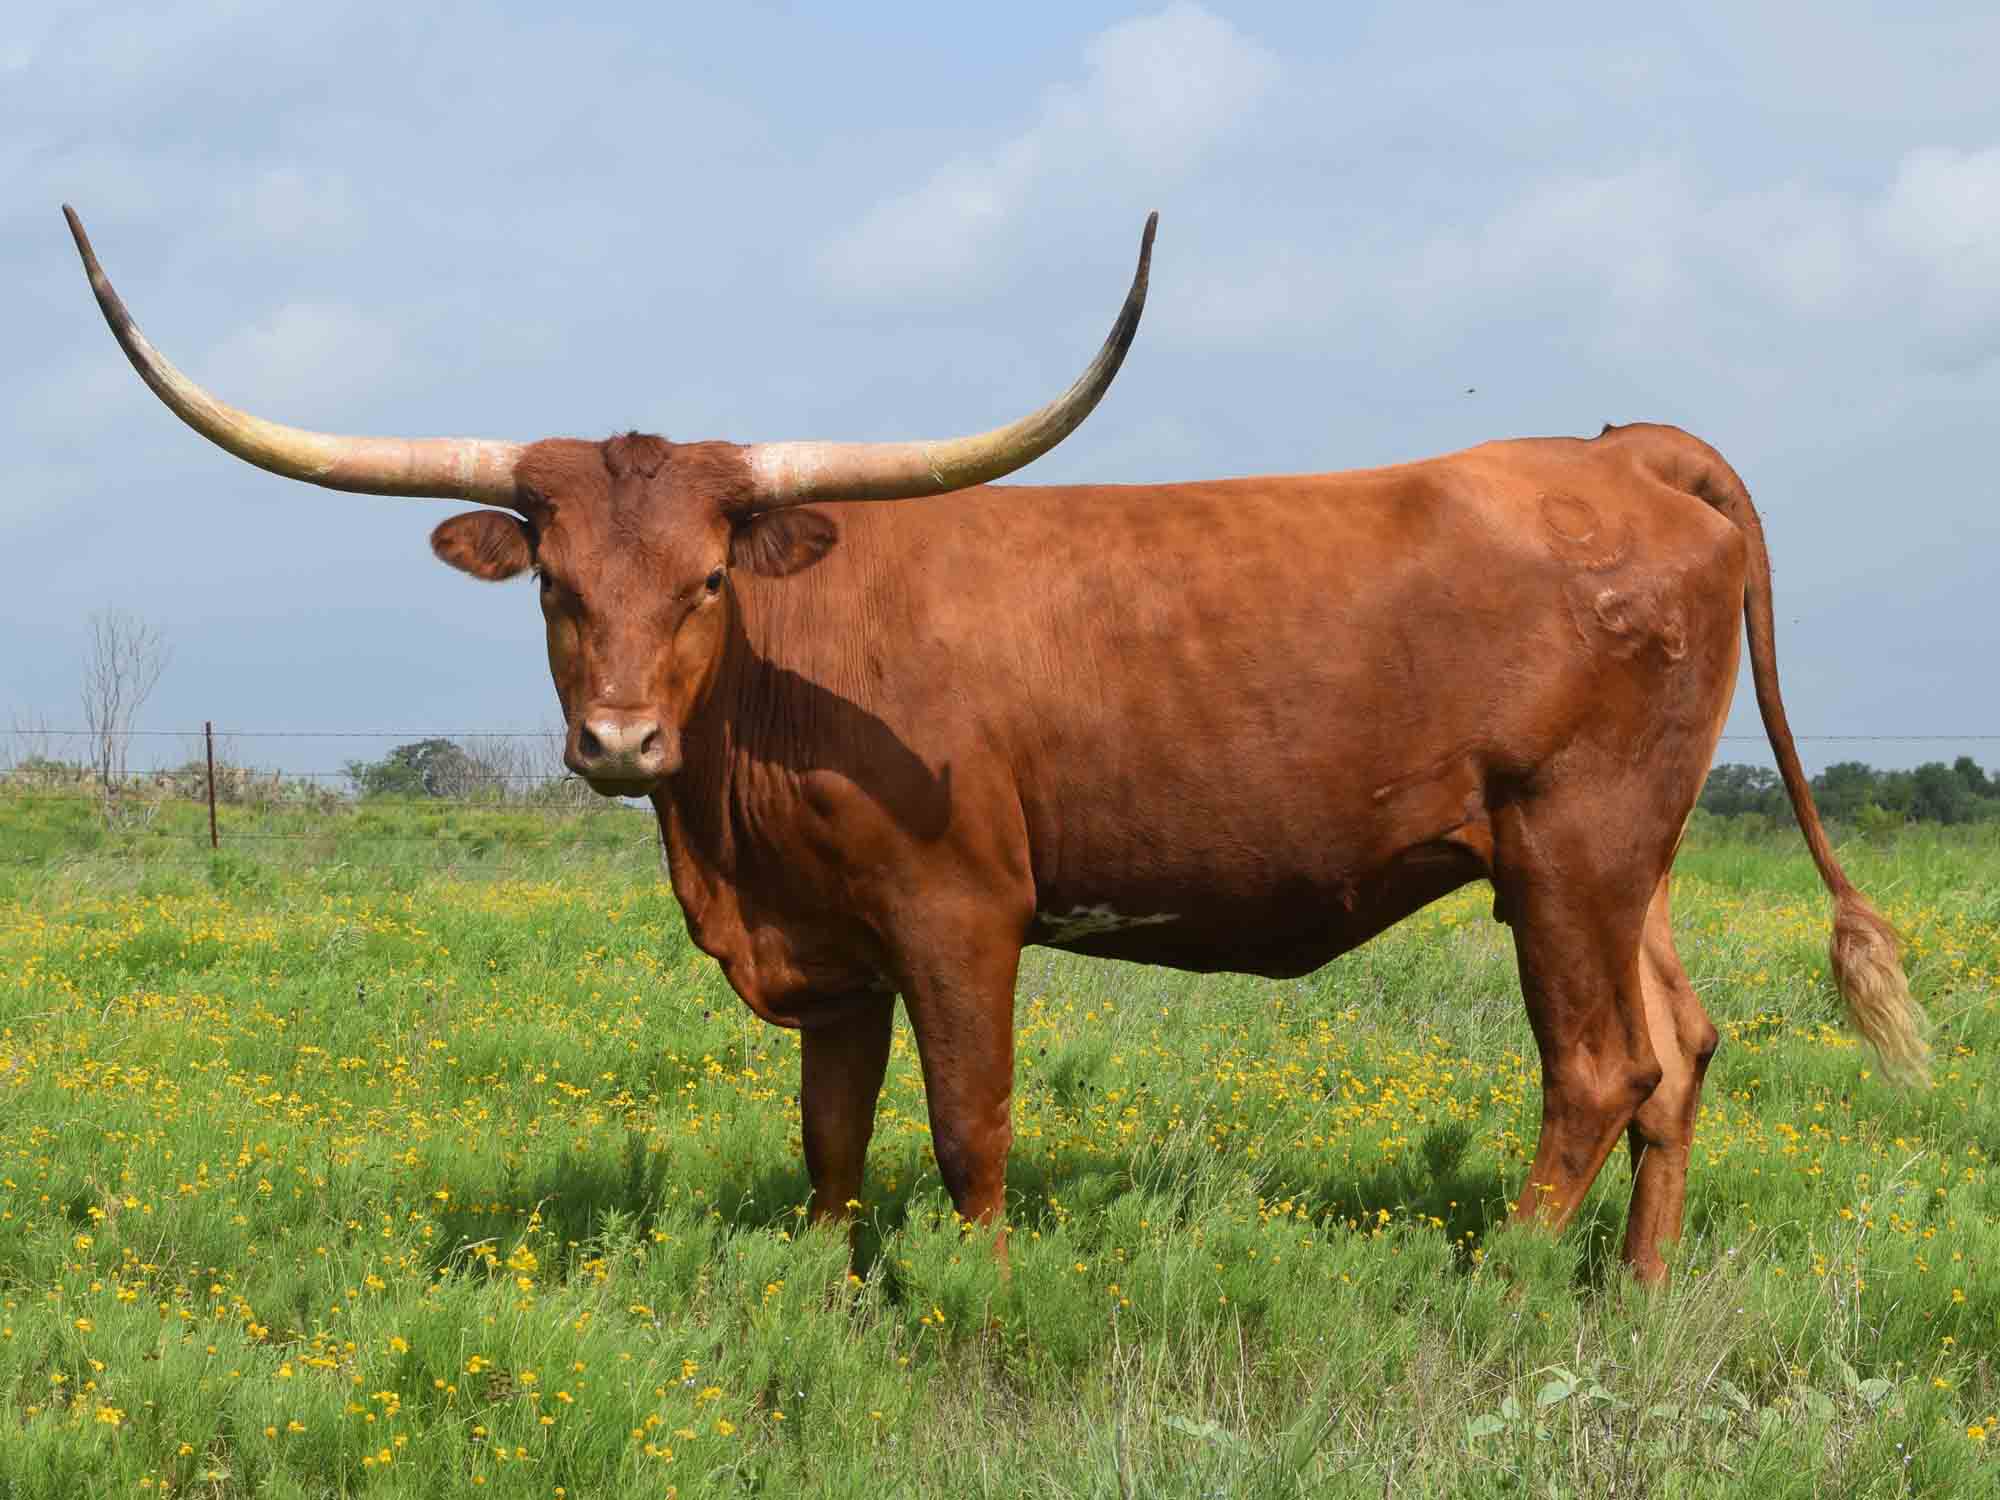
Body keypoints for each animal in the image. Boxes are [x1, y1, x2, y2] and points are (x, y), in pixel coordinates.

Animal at [70, 206, 1928, 1288]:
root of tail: (1627, 451)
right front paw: (824, 1303)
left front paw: (980, 1302)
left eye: (704, 581)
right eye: (556, 587)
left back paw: (1496, 1288)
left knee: (1597, 1070)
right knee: (1679, 1051)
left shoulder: (959, 914)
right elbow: (829, 1144)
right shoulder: (832, 947)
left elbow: (969, 1129)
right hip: (1633, 856)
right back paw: (1636, 1297)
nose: (616, 739)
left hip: (1570, 846)